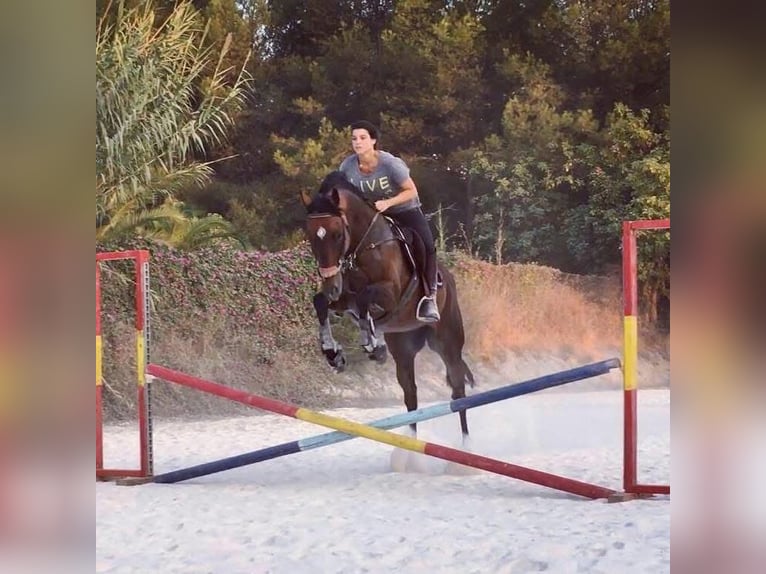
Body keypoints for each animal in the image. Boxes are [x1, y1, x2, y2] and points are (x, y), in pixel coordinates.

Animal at [300, 170, 475, 438]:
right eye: (311, 236)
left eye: (337, 234)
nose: (331, 284)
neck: (364, 246)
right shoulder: (344, 299)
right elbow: (321, 302)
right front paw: (333, 353)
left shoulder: (390, 295)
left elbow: (365, 299)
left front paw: (371, 345)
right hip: (403, 348)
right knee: (411, 394)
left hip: (447, 342)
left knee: (458, 390)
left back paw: (465, 442)